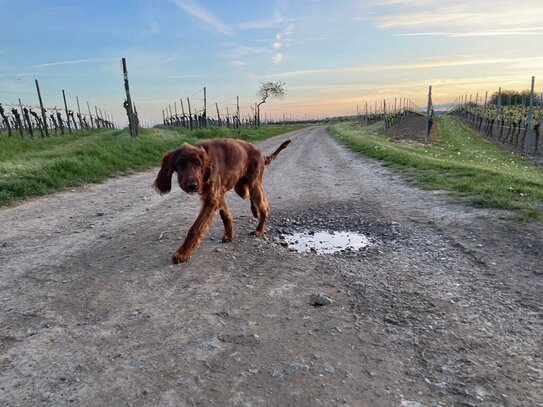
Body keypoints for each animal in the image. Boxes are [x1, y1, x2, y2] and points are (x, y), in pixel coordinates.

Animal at [153, 139, 292, 262]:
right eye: (180, 163)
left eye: (197, 163)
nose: (192, 185)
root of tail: (260, 154)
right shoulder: (218, 195)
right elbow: (225, 215)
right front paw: (229, 235)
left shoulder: (212, 199)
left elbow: (195, 228)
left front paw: (182, 253)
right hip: (241, 188)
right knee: (251, 197)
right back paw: (254, 212)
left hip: (254, 184)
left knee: (264, 206)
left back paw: (259, 229)